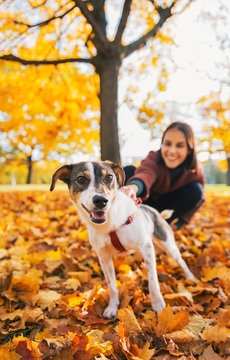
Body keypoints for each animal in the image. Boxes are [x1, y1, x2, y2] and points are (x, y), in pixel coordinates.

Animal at [50, 160, 194, 318]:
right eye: (81, 179)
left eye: (109, 177)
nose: (101, 200)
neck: (109, 225)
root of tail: (155, 212)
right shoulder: (104, 257)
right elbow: (112, 285)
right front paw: (112, 307)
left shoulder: (147, 247)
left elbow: (153, 281)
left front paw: (157, 303)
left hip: (168, 244)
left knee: (181, 261)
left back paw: (190, 277)